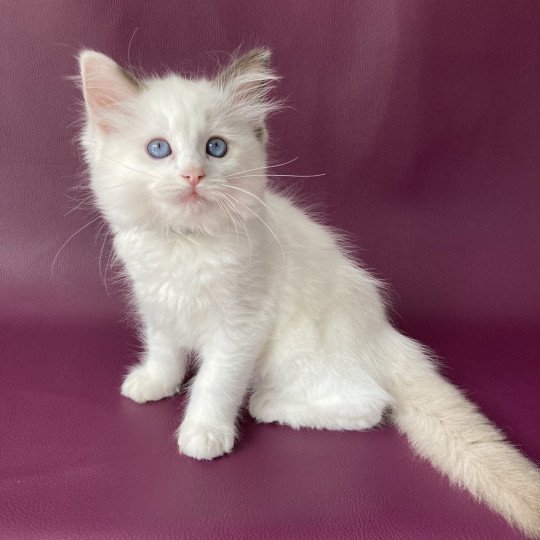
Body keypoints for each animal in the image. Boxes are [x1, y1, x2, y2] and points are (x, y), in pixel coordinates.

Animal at [79, 49, 540, 536]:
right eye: (159, 149)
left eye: (216, 148)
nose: (193, 176)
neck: (187, 243)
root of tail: (382, 335)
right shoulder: (156, 305)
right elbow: (164, 351)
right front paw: (154, 383)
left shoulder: (241, 327)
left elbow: (214, 383)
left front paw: (204, 433)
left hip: (295, 350)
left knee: (370, 405)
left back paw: (268, 404)